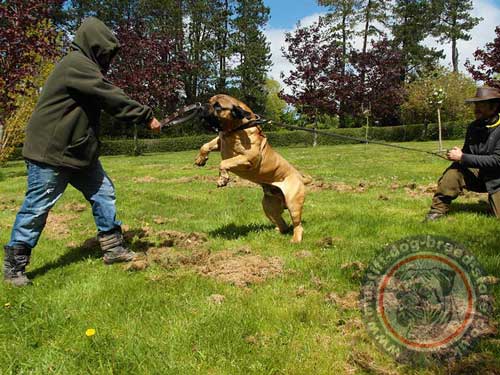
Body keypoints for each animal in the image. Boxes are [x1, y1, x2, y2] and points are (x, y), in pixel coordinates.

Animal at [194, 94, 308, 244]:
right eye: (209, 101)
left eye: (217, 106)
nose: (201, 106)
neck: (235, 129)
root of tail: (301, 177)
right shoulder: (220, 142)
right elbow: (206, 145)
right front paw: (201, 159)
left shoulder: (248, 158)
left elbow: (224, 162)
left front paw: (222, 179)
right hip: (269, 206)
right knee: (282, 223)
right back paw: (276, 231)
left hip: (293, 203)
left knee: (297, 225)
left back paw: (295, 240)